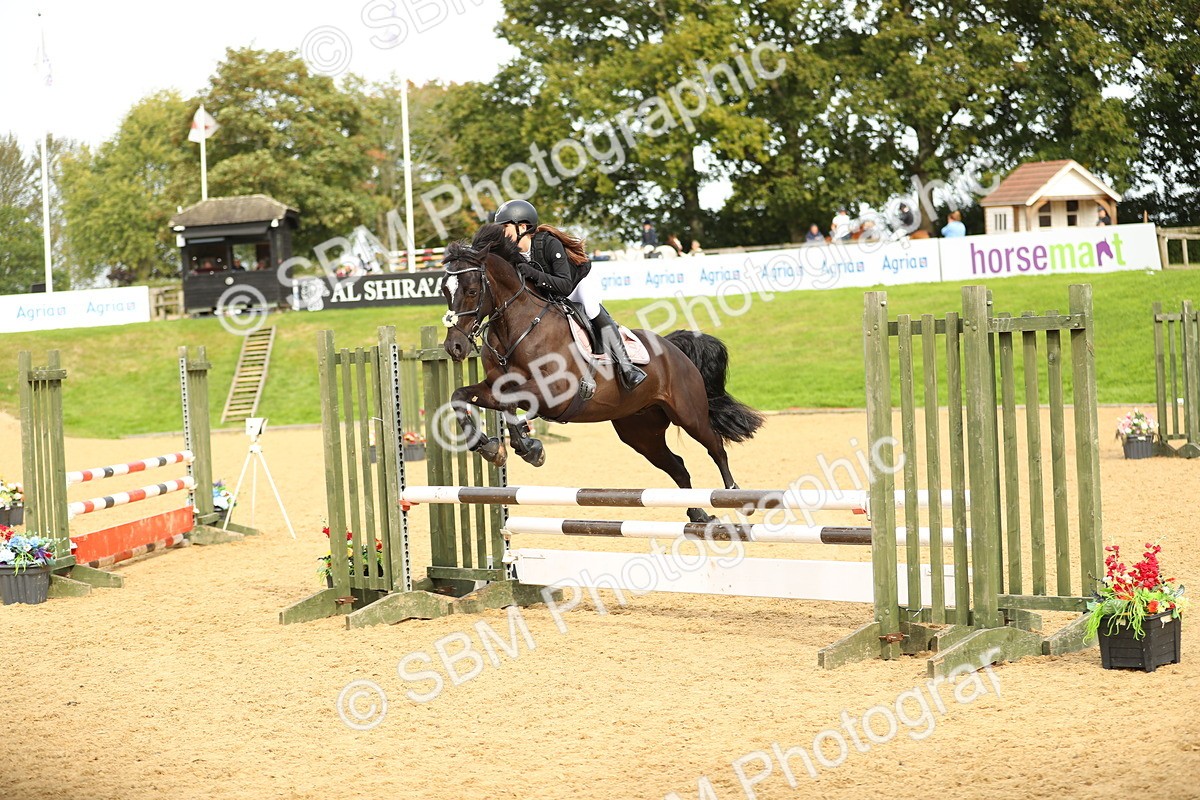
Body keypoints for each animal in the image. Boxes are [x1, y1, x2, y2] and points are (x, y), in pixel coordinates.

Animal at [439, 224, 764, 523]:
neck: (516, 327)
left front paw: (529, 448)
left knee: (716, 447)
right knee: (678, 466)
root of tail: (674, 348)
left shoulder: (555, 392)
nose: (454, 346)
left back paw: (735, 497)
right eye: (444, 291)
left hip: (689, 413)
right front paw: (492, 448)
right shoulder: (495, 385)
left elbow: (509, 402)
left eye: (471, 291)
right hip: (641, 432)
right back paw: (698, 514)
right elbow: (460, 396)